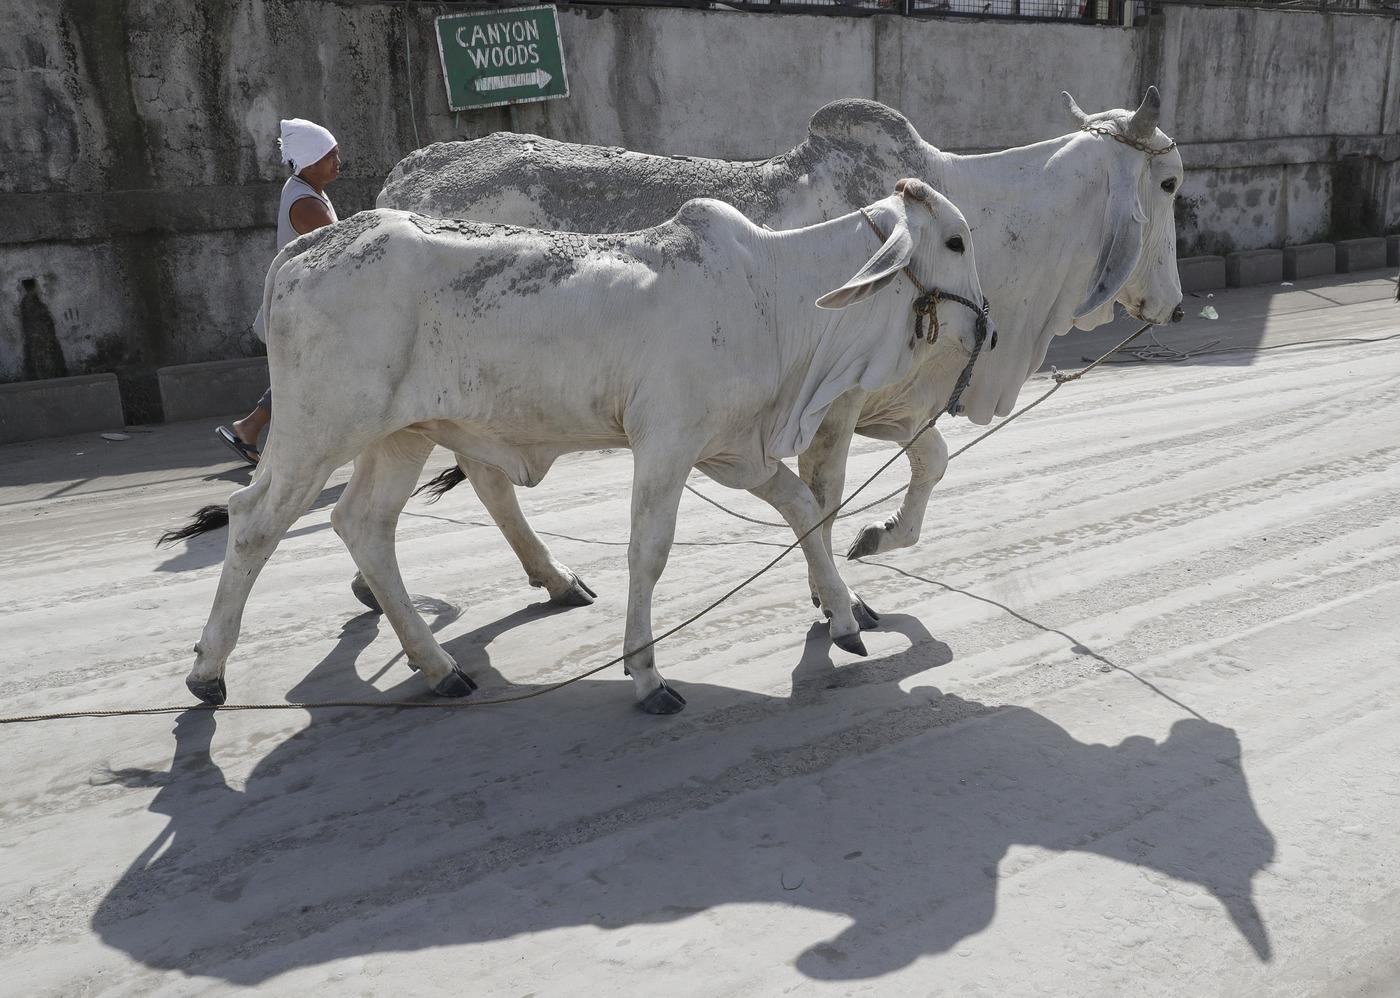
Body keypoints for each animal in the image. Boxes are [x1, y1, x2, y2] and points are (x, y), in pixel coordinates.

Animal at [191, 179, 991, 708]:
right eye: (956, 239)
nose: (985, 324)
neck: (773, 294)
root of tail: (308, 245)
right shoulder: (667, 443)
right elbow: (650, 551)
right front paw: (646, 673)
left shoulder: (733, 448)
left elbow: (805, 508)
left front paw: (846, 617)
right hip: (321, 428)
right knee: (255, 521)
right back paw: (207, 671)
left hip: (400, 434)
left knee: (364, 524)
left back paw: (440, 665)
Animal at [383, 92, 1181, 585]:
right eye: (1170, 183)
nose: (1172, 305)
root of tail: (407, 172)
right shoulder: (838, 405)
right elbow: (823, 497)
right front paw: (834, 603)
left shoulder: (895, 401)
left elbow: (932, 461)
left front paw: (880, 538)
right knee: (483, 480)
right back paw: (546, 578)